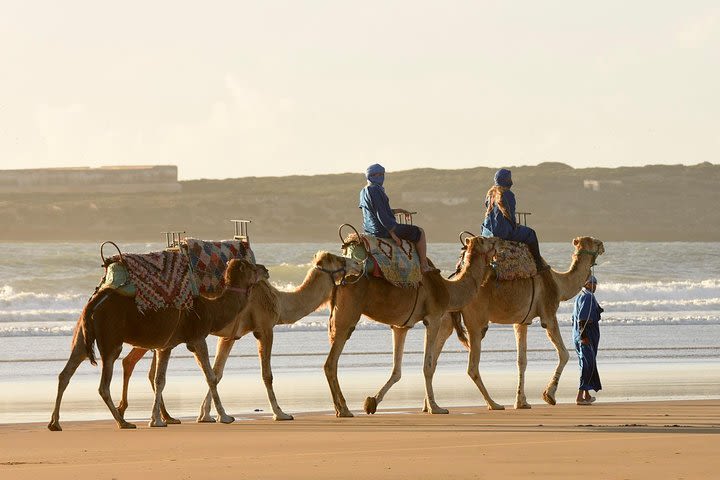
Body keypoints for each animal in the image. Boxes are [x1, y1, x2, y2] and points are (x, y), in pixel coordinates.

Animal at [48, 258, 268, 432]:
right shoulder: (197, 338)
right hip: (110, 340)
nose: (265, 269)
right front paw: (225, 417)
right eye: (250, 266)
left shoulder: (166, 345)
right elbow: (210, 377)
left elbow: (159, 379)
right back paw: (123, 422)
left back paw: (55, 423)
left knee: (65, 373)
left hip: (81, 337)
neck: (211, 310)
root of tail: (94, 302)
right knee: (103, 385)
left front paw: (157, 420)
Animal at [119, 253, 366, 422]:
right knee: (133, 363)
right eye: (338, 258)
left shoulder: (229, 337)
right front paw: (280, 413)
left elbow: (216, 373)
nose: (357, 263)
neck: (279, 301)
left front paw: (206, 415)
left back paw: (160, 417)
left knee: (139, 366)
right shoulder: (265, 328)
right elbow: (267, 375)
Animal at [328, 235, 500, 416]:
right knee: (331, 363)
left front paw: (372, 402)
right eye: (485, 240)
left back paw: (341, 408)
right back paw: (343, 409)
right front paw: (435, 407)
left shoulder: (401, 326)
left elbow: (397, 371)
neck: (448, 289)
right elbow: (428, 366)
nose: (497, 240)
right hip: (347, 316)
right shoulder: (433, 318)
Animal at [372, 234, 600, 410]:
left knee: (433, 359)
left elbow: (522, 361)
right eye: (593, 242)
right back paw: (492, 403)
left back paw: (429, 405)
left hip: (445, 319)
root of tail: (453, 278)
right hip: (475, 321)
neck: (559, 284)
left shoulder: (521, 322)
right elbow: (564, 353)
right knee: (471, 366)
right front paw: (549, 395)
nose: (603, 244)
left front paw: (522, 402)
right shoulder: (548, 314)